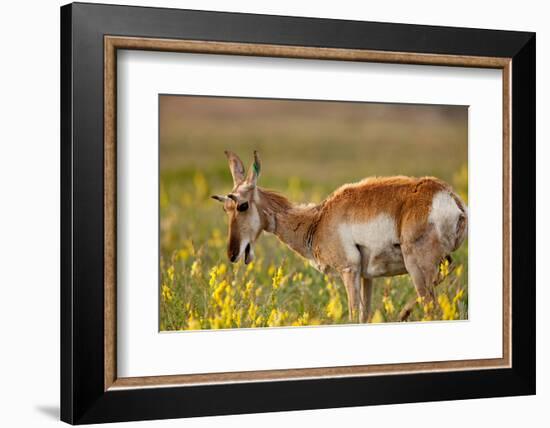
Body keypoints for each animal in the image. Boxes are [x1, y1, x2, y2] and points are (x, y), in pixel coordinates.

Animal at [213, 150, 468, 320]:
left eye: (242, 205)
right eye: (225, 208)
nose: (232, 254)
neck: (318, 219)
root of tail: (447, 195)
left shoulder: (349, 271)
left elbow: (354, 314)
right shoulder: (367, 277)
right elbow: (364, 316)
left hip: (417, 267)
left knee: (432, 308)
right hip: (438, 264)